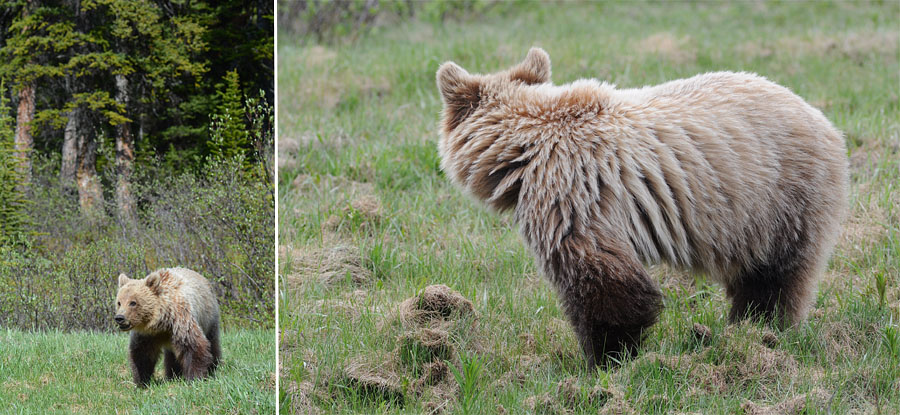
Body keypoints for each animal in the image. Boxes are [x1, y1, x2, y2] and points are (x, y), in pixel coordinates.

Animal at [436, 48, 852, 368]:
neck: (525, 149)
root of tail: (828, 124)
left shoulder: (574, 195)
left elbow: (602, 280)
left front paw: (606, 356)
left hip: (781, 198)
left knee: (776, 277)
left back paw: (761, 330)